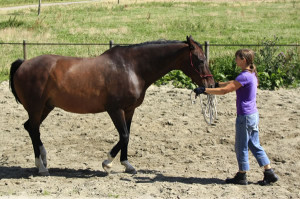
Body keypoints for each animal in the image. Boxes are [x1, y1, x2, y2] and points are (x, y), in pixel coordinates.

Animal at [9, 36, 214, 176]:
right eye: (199, 59)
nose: (211, 85)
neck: (132, 68)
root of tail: (23, 63)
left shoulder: (129, 110)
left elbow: (127, 136)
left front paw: (127, 165)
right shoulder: (115, 110)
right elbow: (123, 136)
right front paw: (107, 162)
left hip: (46, 107)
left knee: (31, 128)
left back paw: (42, 160)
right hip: (36, 108)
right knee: (33, 129)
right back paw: (42, 167)